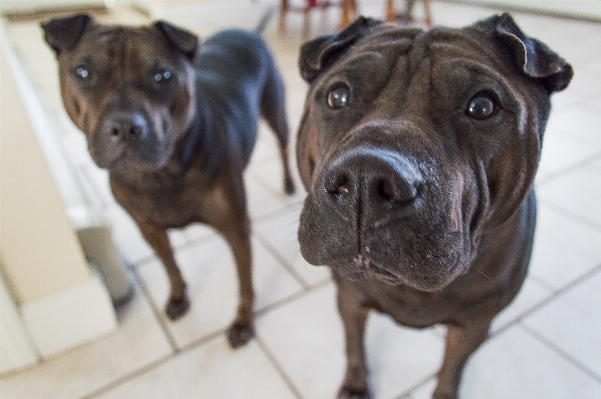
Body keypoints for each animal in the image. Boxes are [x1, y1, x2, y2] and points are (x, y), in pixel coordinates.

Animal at [42, 13, 296, 346]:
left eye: (163, 75)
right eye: (83, 72)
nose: (125, 127)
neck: (160, 174)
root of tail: (249, 33)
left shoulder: (236, 230)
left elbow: (245, 283)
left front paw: (243, 322)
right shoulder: (149, 229)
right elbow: (171, 266)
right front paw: (178, 297)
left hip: (276, 112)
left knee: (283, 146)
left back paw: (289, 183)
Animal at [296, 14, 572, 398]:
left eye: (483, 106)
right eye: (337, 95)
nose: (365, 179)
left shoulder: (473, 325)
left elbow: (452, 368)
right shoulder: (350, 298)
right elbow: (354, 344)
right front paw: (355, 384)